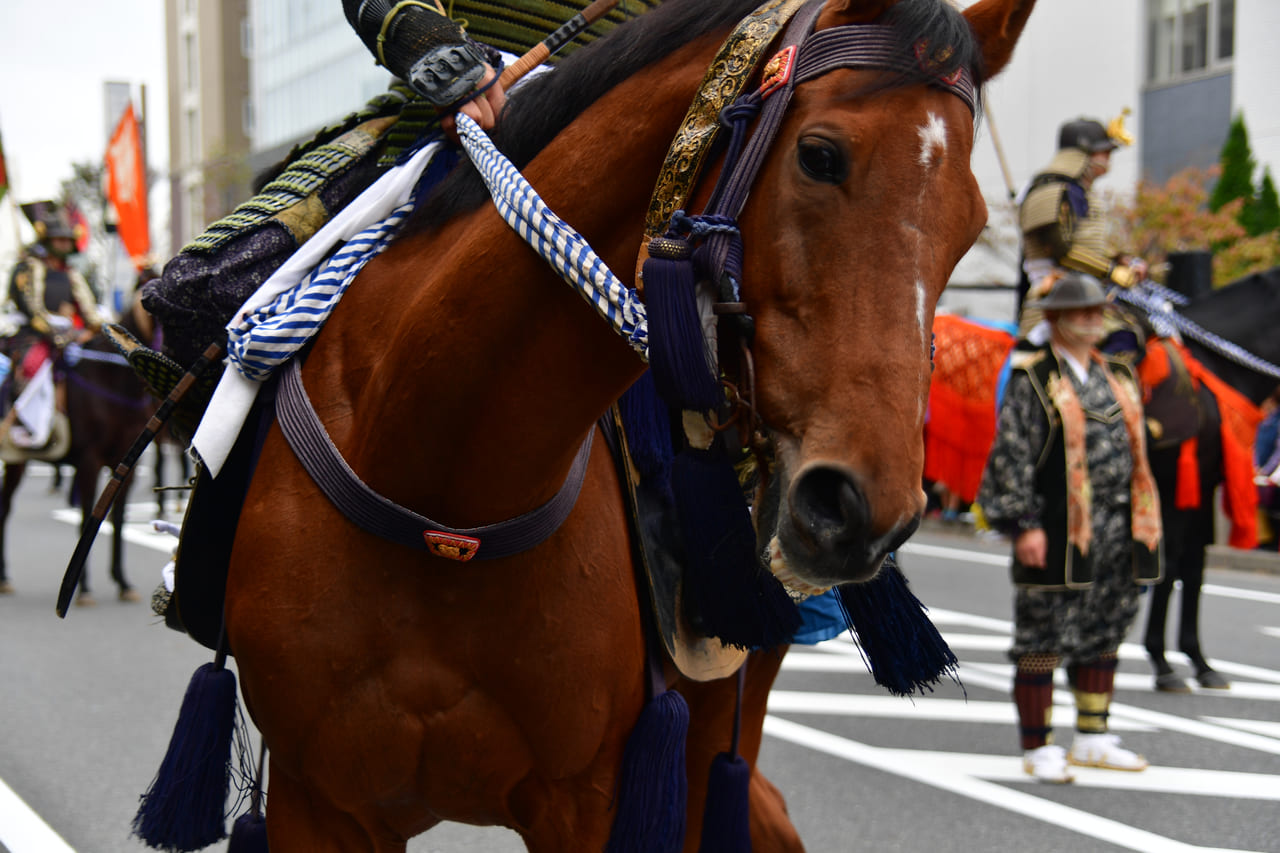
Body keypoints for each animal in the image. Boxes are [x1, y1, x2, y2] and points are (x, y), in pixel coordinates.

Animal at [0, 303, 158, 596]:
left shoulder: (126, 464)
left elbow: (118, 519)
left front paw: (122, 581)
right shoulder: (89, 461)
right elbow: (87, 517)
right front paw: (83, 587)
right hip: (16, 458)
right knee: (5, 510)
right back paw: (4, 576)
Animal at [212, 3, 1029, 845]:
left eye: (971, 223)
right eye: (820, 155)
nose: (864, 511)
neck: (442, 482)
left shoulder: (589, 798)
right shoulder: (321, 799)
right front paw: (449, 67)